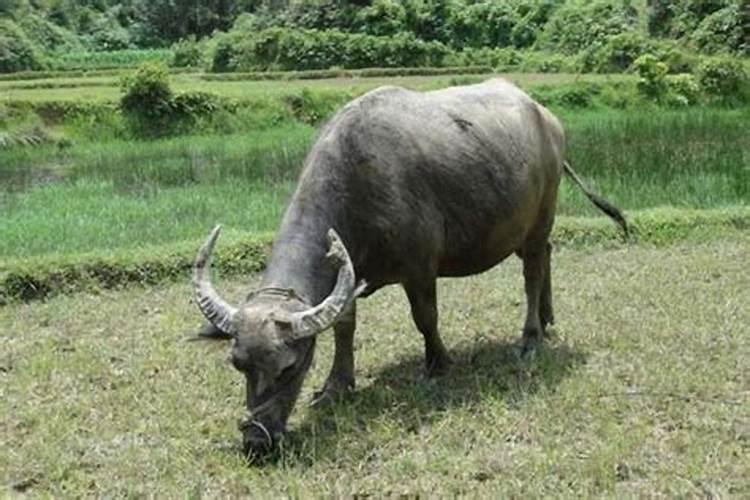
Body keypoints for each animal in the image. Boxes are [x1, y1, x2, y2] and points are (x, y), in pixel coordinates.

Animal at [194, 78, 628, 458]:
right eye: (238, 364)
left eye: (289, 367)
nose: (256, 440)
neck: (358, 185)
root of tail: (546, 117)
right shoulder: (347, 274)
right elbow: (344, 327)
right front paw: (336, 386)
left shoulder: (419, 268)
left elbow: (425, 317)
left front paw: (437, 363)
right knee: (546, 256)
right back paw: (549, 317)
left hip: (542, 215)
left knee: (533, 273)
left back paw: (531, 336)